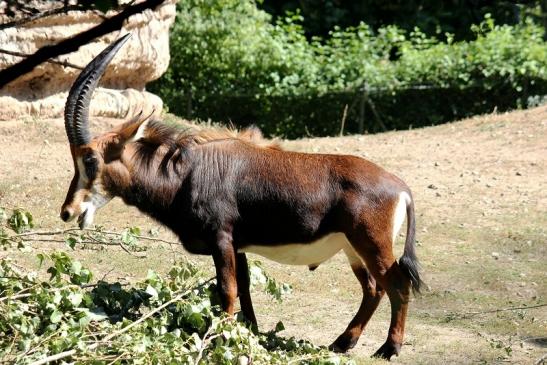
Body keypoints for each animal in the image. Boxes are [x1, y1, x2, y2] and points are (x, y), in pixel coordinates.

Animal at [62, 34, 426, 358]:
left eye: (90, 160)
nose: (68, 211)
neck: (185, 173)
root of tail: (400, 188)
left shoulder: (221, 238)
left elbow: (227, 289)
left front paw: (220, 339)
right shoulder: (237, 245)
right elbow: (246, 285)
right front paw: (248, 332)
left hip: (370, 243)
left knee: (396, 284)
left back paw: (389, 348)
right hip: (352, 247)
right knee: (373, 287)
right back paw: (343, 342)